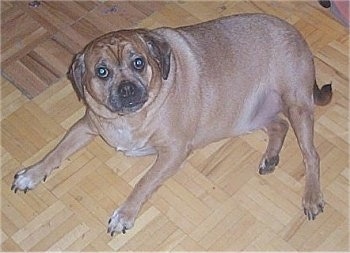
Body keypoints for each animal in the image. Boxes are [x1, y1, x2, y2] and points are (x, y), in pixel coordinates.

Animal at [12, 13, 332, 235]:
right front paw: (32, 174)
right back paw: (270, 157)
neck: (130, 118)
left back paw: (312, 197)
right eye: (101, 71)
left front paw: (125, 214)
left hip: (297, 107)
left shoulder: (172, 152)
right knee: (279, 126)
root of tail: (295, 33)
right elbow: (55, 152)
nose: (127, 89)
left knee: (312, 155)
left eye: (139, 63)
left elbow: (143, 183)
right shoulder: (85, 126)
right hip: (250, 116)